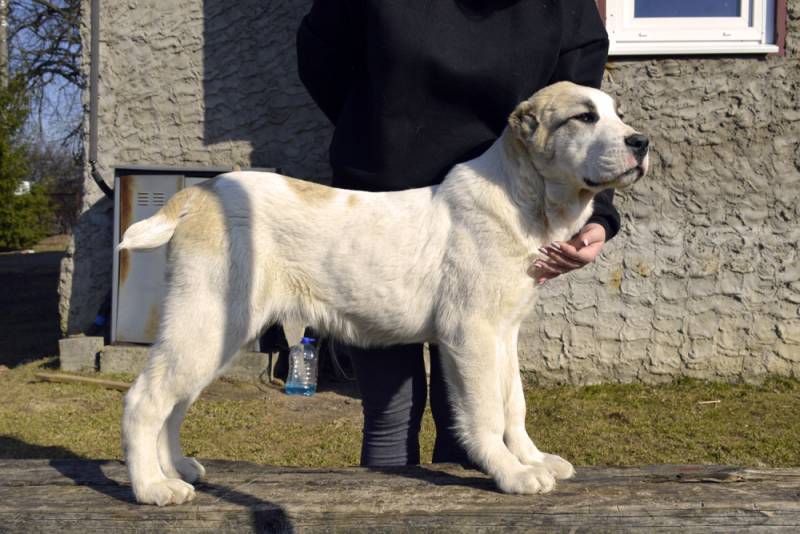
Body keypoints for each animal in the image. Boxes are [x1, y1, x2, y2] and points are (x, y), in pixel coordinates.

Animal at [123, 82, 648, 506]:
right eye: (585, 117)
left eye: (617, 114)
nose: (641, 142)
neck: (523, 198)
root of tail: (200, 192)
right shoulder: (471, 335)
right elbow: (485, 412)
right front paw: (511, 474)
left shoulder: (504, 333)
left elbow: (513, 404)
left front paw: (532, 459)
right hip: (209, 319)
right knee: (146, 400)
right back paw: (153, 487)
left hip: (214, 330)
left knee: (175, 402)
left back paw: (177, 468)